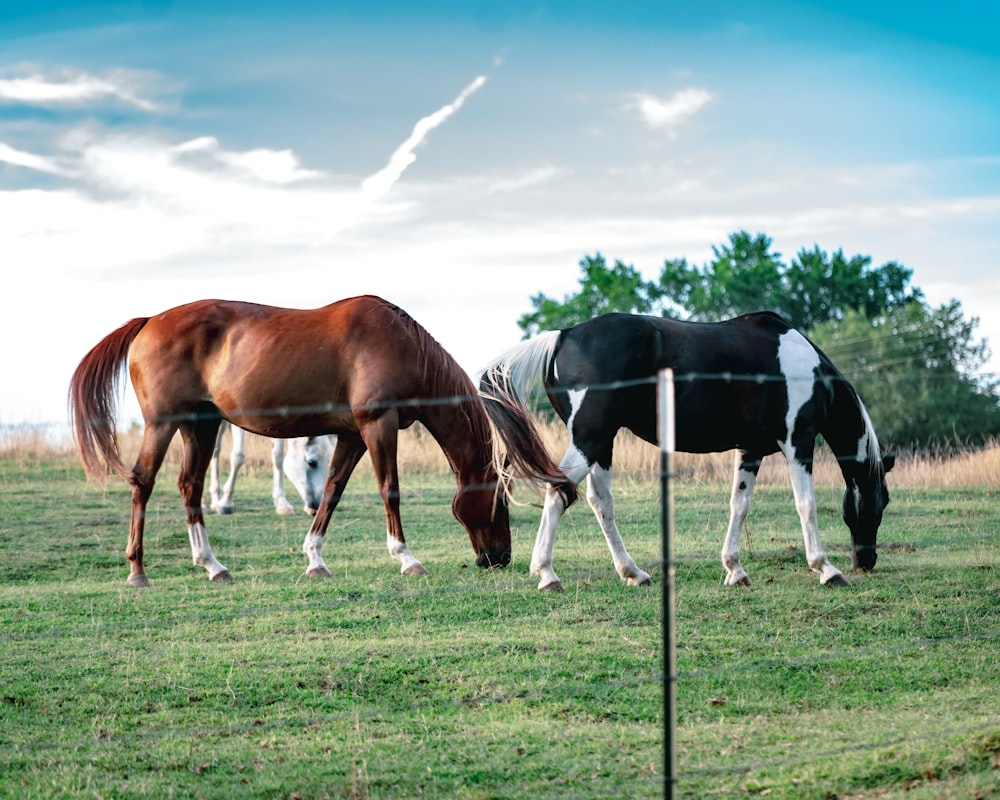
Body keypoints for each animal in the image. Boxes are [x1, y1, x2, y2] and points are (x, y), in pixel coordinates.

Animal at [208, 422, 336, 516]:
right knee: (215, 448)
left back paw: (215, 500)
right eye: (311, 463)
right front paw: (226, 503)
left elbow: (278, 457)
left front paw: (282, 504)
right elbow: (238, 456)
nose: (318, 506)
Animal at [480, 310, 896, 592]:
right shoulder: (799, 442)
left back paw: (633, 572)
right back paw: (548, 574)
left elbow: (739, 505)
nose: (866, 561)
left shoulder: (751, 450)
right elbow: (806, 505)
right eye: (883, 501)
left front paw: (735, 569)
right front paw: (826, 568)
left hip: (600, 444)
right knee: (558, 493)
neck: (807, 370)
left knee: (600, 502)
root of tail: (563, 335)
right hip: (590, 441)